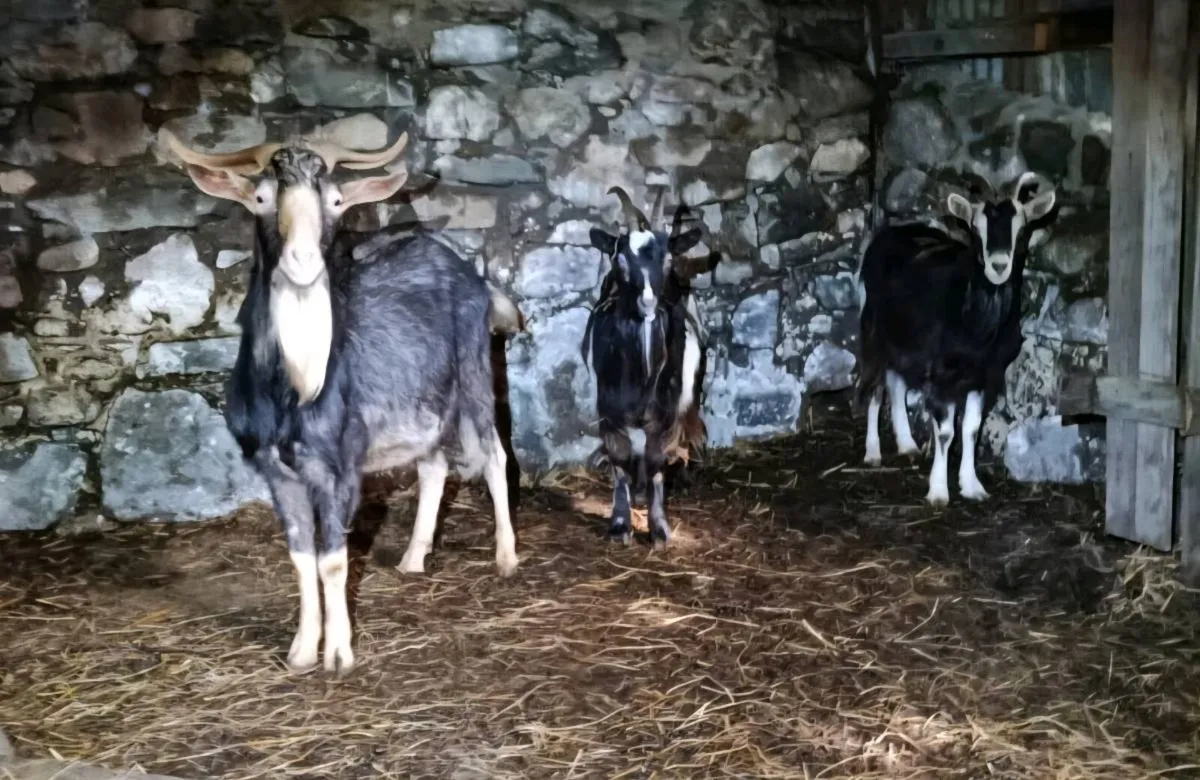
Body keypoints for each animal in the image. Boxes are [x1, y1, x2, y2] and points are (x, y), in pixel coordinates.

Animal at [163, 129, 523, 675]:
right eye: (261, 198)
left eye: (334, 201)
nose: (303, 263)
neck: (292, 391)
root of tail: (471, 274)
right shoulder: (276, 472)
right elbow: (301, 557)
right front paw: (300, 651)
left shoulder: (341, 468)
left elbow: (333, 560)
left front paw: (338, 653)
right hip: (428, 400)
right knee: (434, 465)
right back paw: (413, 559)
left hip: (476, 371)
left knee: (495, 454)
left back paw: (506, 558)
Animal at [582, 187, 706, 547]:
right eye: (620, 258)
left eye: (667, 258)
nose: (649, 302)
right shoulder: (608, 409)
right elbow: (621, 460)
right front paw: (620, 524)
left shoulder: (665, 412)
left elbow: (656, 464)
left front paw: (659, 528)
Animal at [856, 171, 1056, 506]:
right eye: (975, 228)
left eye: (1022, 228)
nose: (999, 265)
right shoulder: (941, 374)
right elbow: (946, 432)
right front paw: (938, 491)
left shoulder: (985, 375)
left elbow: (972, 429)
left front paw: (972, 485)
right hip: (873, 330)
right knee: (875, 387)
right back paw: (872, 452)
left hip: (903, 338)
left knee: (896, 382)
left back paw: (907, 444)